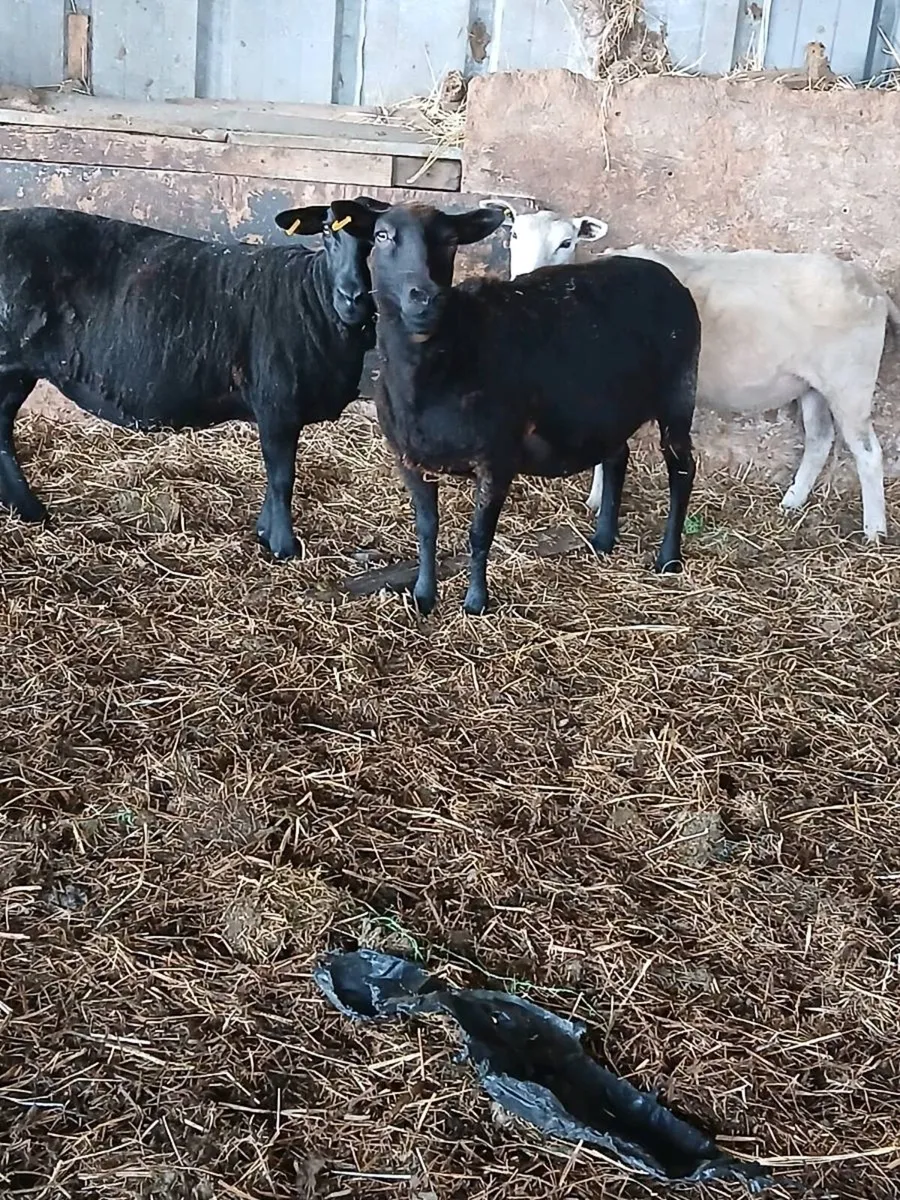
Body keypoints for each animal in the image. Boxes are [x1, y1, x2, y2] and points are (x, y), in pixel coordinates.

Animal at [0, 199, 387, 558]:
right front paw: (283, 547)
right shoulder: (277, 404)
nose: (354, 298)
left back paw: (27, 510)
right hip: (9, 364)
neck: (313, 297)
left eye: (374, 239)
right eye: (326, 232)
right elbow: (281, 477)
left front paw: (265, 532)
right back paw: (31, 509)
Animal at [333, 199, 701, 616]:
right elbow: (426, 530)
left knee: (682, 469)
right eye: (382, 236)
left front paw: (475, 602)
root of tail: (666, 276)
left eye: (451, 240)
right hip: (608, 407)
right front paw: (424, 596)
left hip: (678, 393)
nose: (425, 297)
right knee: (616, 456)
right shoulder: (409, 459)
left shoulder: (497, 457)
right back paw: (603, 540)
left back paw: (669, 558)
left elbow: (479, 535)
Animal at [490, 201, 895, 540]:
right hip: (811, 384)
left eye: (566, 242)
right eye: (514, 235)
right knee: (819, 439)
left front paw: (597, 502)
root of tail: (875, 288)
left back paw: (875, 531)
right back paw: (792, 502)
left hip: (850, 381)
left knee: (867, 453)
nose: (527, 280)